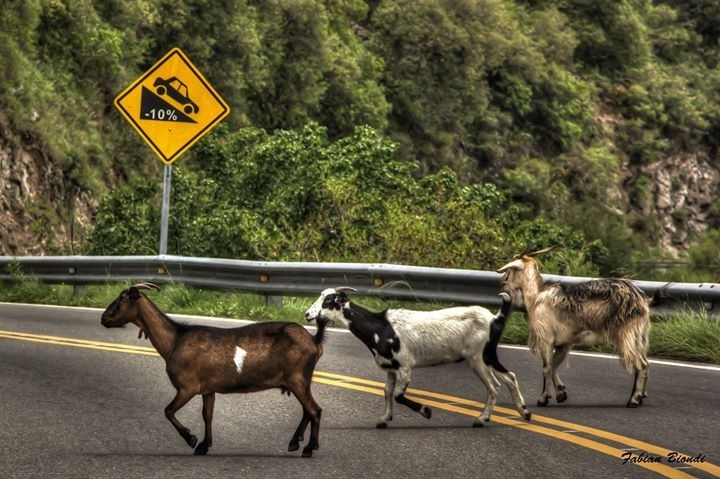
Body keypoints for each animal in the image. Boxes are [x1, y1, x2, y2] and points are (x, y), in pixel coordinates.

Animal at [101, 284, 326, 460]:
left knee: (314, 410)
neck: (175, 341)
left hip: (297, 378)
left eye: (121, 299)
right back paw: (295, 443)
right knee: (307, 410)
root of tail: (314, 340)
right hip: (300, 380)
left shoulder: (188, 387)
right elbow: (207, 415)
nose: (104, 318)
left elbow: (168, 411)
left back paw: (308, 448)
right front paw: (204, 445)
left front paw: (191, 439)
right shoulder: (208, 389)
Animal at [300, 286, 532, 430]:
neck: (381, 328)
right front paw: (384, 419)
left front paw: (426, 411)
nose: (307, 315)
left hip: (478, 357)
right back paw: (525, 413)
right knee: (510, 376)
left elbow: (398, 395)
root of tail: (495, 318)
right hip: (488, 355)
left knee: (494, 385)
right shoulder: (390, 368)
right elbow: (387, 392)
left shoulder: (404, 366)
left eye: (328, 301)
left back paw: (482, 419)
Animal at [496, 248, 668, 408]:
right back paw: (641, 396)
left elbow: (547, 367)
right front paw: (561, 393)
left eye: (510, 270)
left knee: (640, 365)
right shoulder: (564, 343)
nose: (502, 283)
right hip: (639, 335)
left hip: (627, 334)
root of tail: (643, 300)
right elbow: (554, 366)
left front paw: (543, 399)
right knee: (646, 363)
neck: (536, 297)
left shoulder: (546, 339)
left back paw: (634, 399)